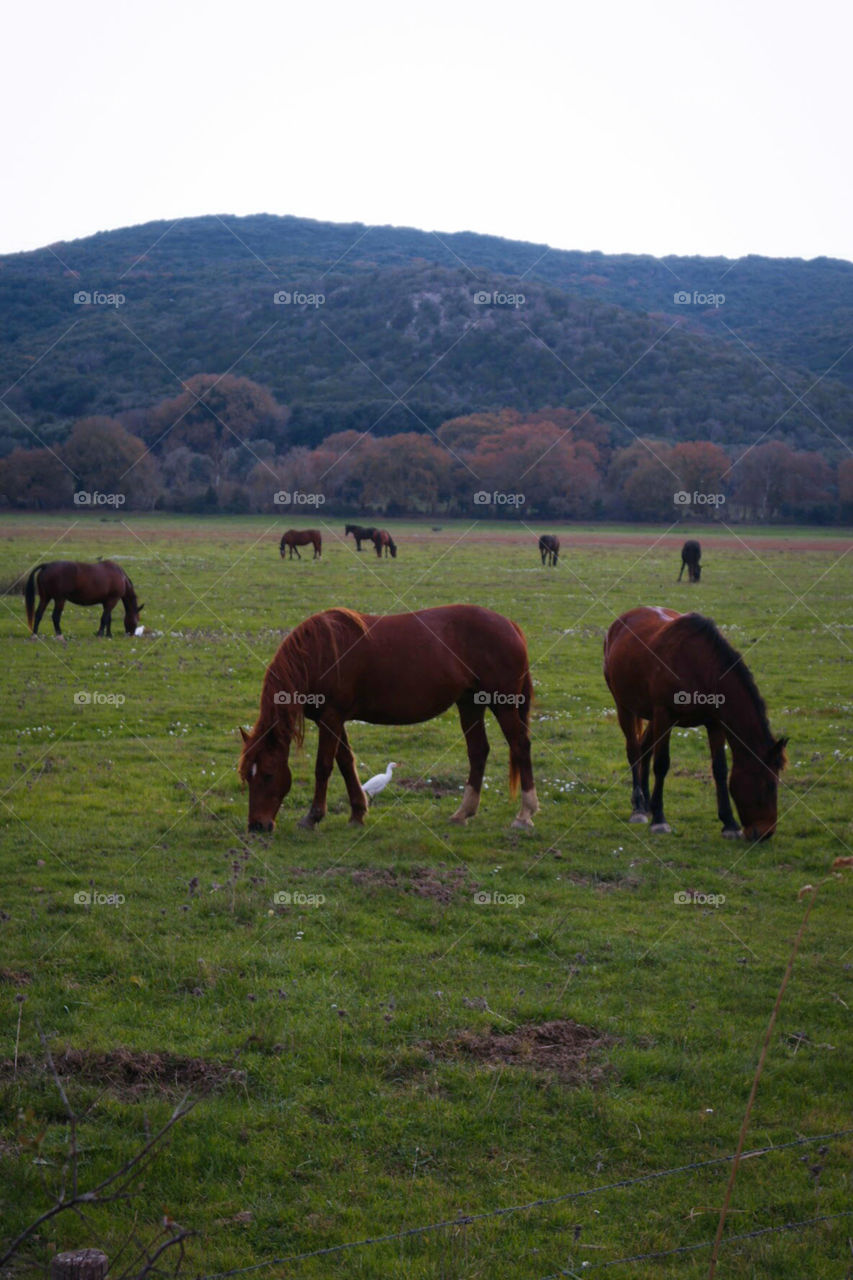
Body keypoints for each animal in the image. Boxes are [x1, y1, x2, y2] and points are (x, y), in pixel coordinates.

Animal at [239, 605, 538, 834]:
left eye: (267, 774)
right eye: (246, 777)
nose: (257, 826)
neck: (318, 654)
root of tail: (509, 624)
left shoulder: (331, 717)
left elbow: (324, 766)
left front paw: (312, 817)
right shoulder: (337, 720)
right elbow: (346, 762)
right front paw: (357, 813)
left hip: (502, 703)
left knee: (520, 746)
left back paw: (524, 814)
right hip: (470, 703)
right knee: (478, 751)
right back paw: (463, 812)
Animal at [603, 607, 787, 840]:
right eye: (768, 785)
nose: (766, 833)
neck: (699, 667)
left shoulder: (714, 723)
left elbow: (720, 769)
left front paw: (729, 823)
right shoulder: (665, 715)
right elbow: (662, 764)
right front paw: (659, 820)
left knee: (645, 748)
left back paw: (645, 804)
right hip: (625, 706)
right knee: (634, 751)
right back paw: (638, 807)